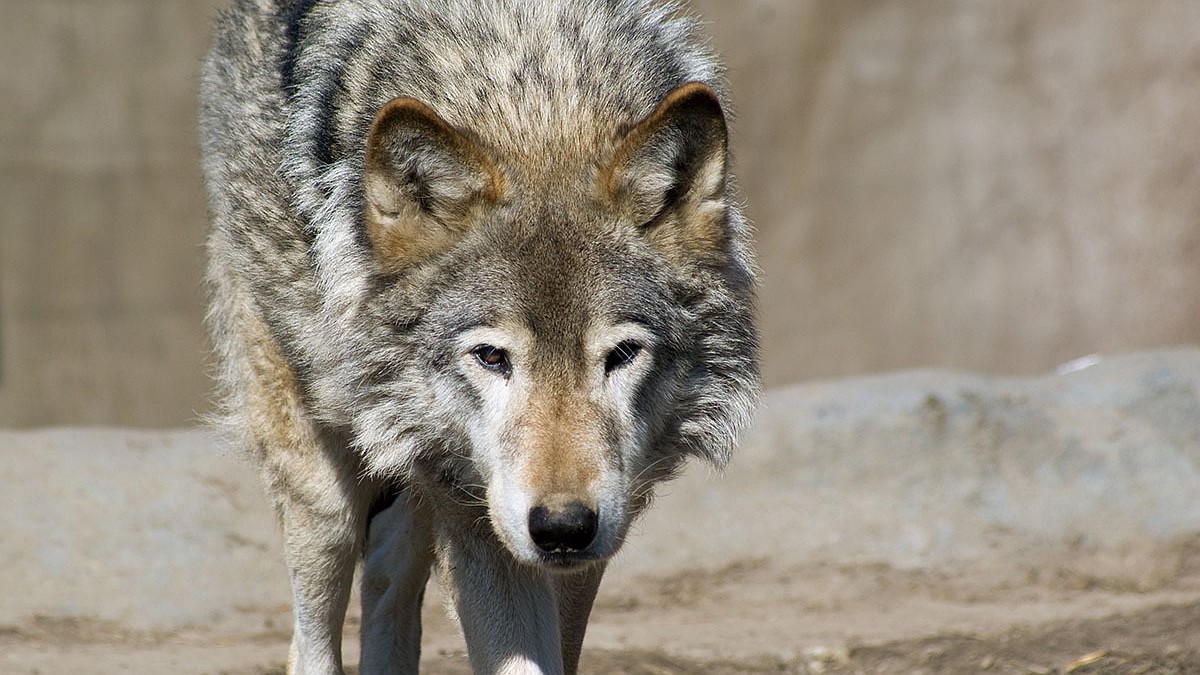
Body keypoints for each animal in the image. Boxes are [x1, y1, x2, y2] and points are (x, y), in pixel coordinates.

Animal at [200, 0, 753, 667]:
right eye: (491, 357)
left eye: (621, 354)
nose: (563, 527)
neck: (539, 106)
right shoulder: (473, 508)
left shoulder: (596, 525)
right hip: (325, 487)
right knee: (310, 636)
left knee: (388, 575)